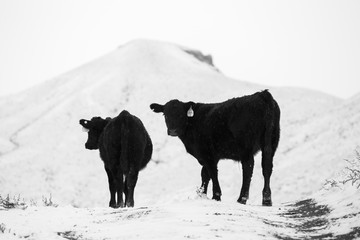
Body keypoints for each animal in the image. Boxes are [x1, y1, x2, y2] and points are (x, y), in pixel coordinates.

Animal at [150, 90, 280, 206]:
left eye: (181, 114)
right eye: (165, 114)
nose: (172, 131)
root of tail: (262, 94)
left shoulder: (207, 154)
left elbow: (212, 173)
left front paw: (216, 196)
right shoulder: (209, 156)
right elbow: (205, 174)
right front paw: (202, 194)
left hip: (246, 146)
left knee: (248, 168)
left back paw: (241, 199)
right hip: (271, 142)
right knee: (267, 167)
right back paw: (267, 200)